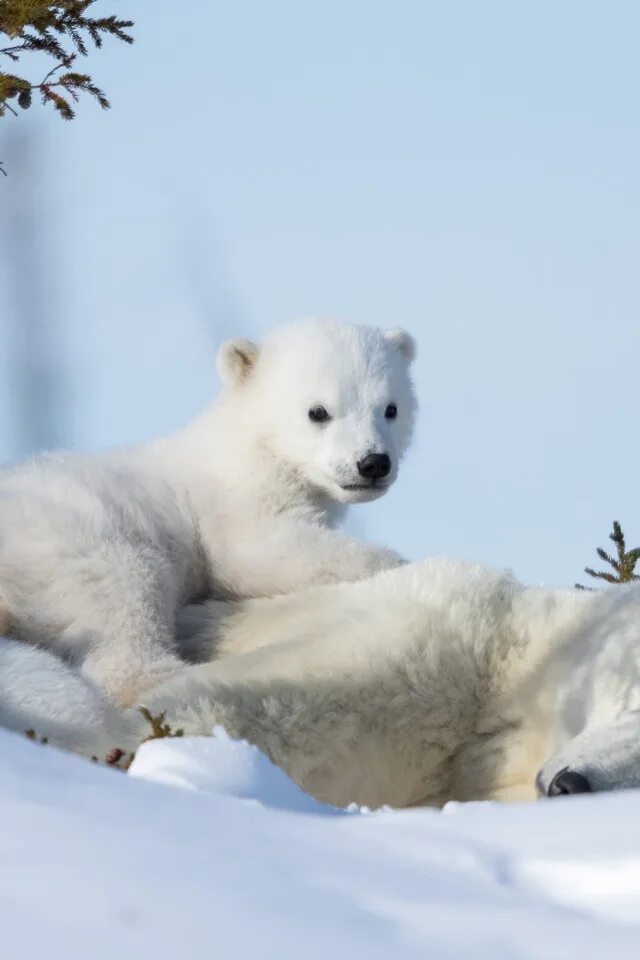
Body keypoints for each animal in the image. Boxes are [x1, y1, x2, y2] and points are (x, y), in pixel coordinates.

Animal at [0, 318, 416, 700]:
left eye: (391, 408)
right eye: (318, 411)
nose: (373, 463)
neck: (248, 445)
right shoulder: (237, 499)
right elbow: (255, 553)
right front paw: (397, 563)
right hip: (77, 540)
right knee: (124, 596)